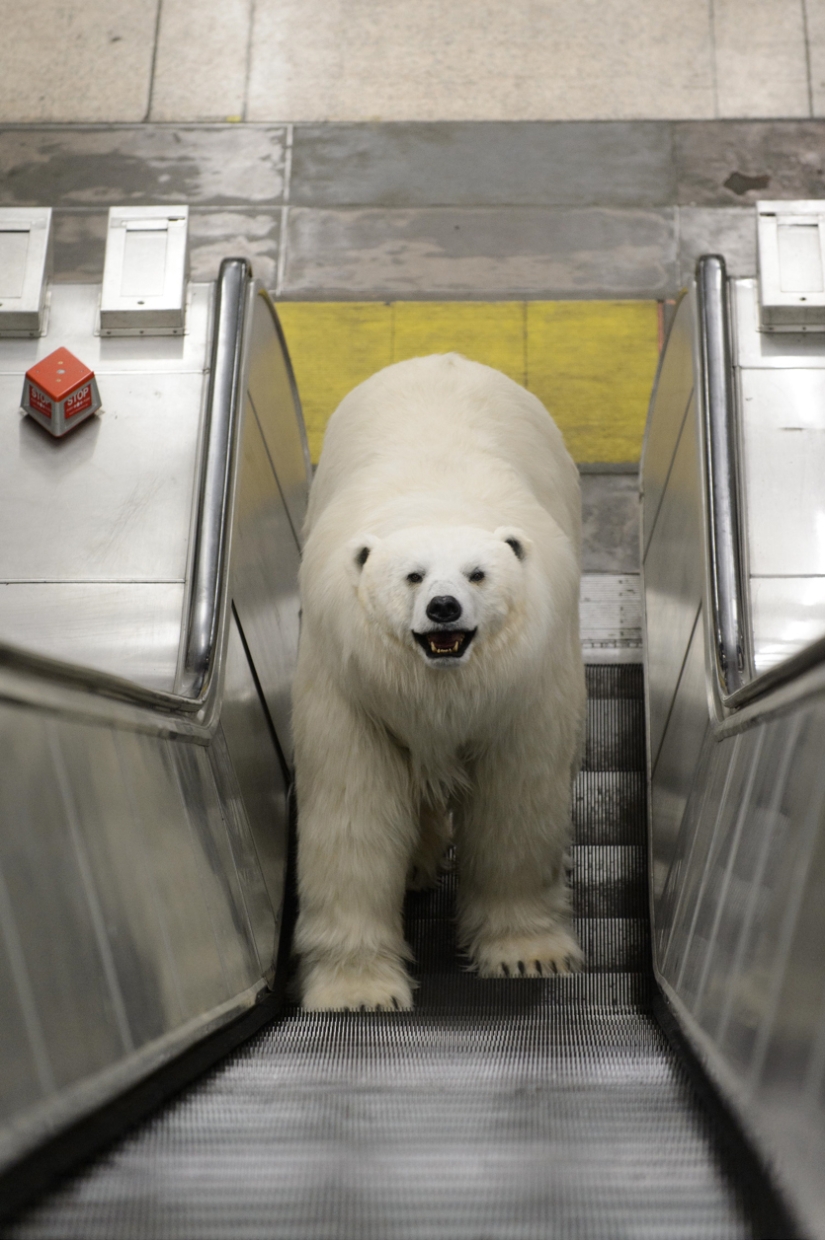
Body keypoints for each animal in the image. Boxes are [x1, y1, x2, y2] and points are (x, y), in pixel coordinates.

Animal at [292, 353, 586, 1012]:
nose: (444, 608)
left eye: (478, 573)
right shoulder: (353, 686)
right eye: (412, 575)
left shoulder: (526, 688)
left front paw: (528, 955)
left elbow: (516, 802)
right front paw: (359, 990)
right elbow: (353, 811)